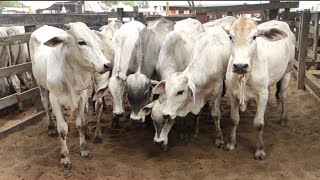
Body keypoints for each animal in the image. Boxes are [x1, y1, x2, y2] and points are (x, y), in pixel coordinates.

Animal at [29, 21, 112, 169]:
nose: (107, 64)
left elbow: (81, 124)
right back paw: (51, 128)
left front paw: (84, 149)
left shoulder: (82, 97)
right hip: (42, 87)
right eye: (81, 42)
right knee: (46, 106)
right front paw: (65, 157)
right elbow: (62, 129)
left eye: (96, 40)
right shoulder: (55, 100)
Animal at [222, 18, 296, 160]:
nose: (240, 66)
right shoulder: (232, 94)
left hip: (287, 71)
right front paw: (231, 143)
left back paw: (284, 119)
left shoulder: (262, 94)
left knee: (283, 95)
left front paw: (260, 150)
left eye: (254, 37)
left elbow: (258, 123)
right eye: (230, 37)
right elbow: (234, 119)